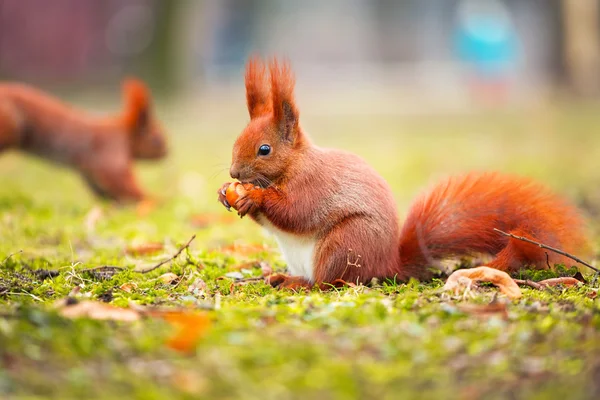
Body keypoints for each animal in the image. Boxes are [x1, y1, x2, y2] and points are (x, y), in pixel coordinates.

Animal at [0, 79, 166, 203]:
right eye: (157, 140)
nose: (167, 152)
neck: (122, 134)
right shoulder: (109, 152)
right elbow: (123, 183)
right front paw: (155, 201)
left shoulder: (90, 174)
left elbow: (108, 194)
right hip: (10, 126)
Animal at [218, 56, 588, 290]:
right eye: (236, 140)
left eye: (264, 150)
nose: (235, 171)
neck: (293, 164)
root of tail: (386, 265)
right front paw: (227, 193)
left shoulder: (314, 185)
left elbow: (296, 212)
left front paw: (255, 195)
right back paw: (283, 278)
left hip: (345, 245)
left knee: (331, 283)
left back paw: (299, 284)